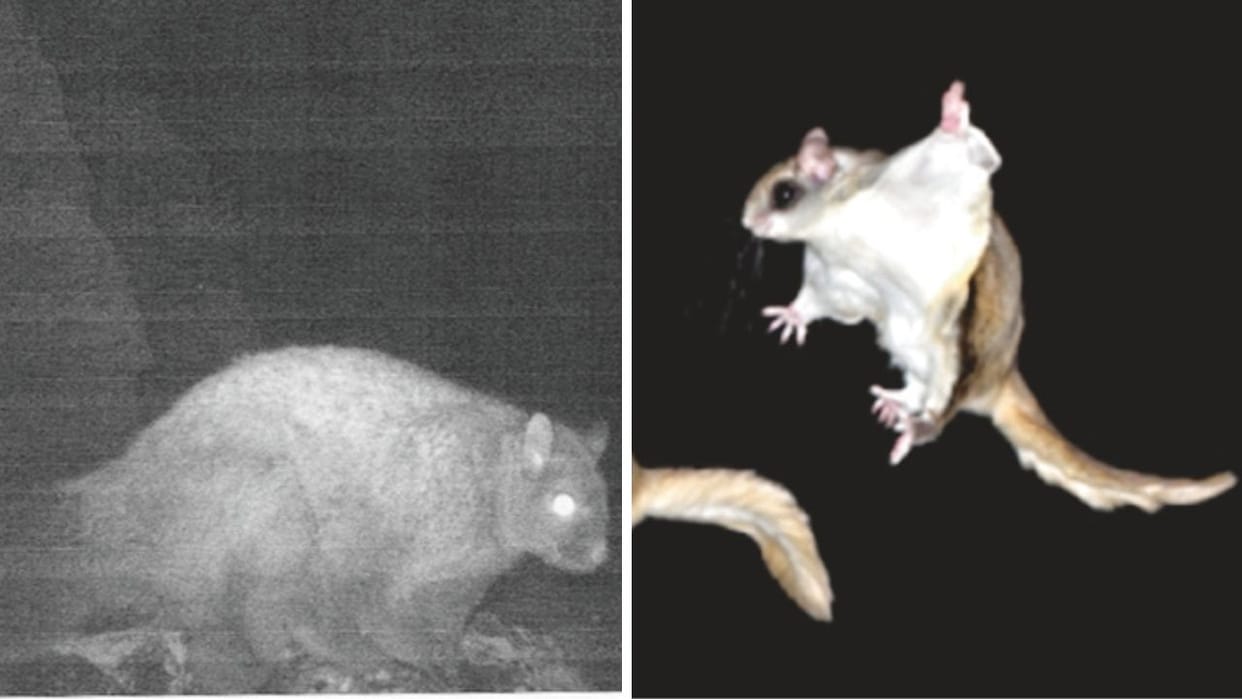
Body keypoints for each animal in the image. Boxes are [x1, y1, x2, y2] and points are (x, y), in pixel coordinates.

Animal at [5, 345, 609, 691]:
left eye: (603, 501)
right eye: (563, 502)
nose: (601, 556)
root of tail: (121, 487)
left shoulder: (458, 575)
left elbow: (441, 622)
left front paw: (449, 661)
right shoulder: (360, 540)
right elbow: (354, 612)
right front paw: (385, 656)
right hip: (275, 496)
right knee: (241, 610)